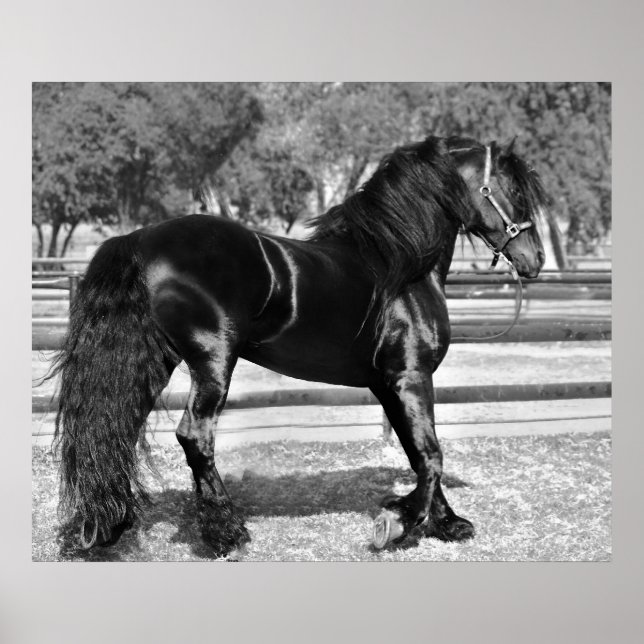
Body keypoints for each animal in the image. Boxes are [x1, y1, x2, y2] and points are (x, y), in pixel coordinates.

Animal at [50, 135, 547, 554]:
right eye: (514, 190)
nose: (535, 259)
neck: (400, 267)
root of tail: (139, 238)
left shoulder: (388, 385)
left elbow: (417, 451)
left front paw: (446, 522)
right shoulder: (410, 376)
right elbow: (431, 455)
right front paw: (398, 523)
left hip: (155, 362)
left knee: (116, 430)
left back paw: (109, 526)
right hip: (212, 362)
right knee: (195, 437)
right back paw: (226, 533)